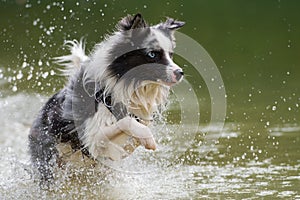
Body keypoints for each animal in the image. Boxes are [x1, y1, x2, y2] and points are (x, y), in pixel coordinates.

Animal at [28, 13, 184, 184]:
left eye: (171, 54)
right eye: (152, 54)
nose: (180, 73)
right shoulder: (92, 139)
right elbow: (127, 122)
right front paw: (148, 139)